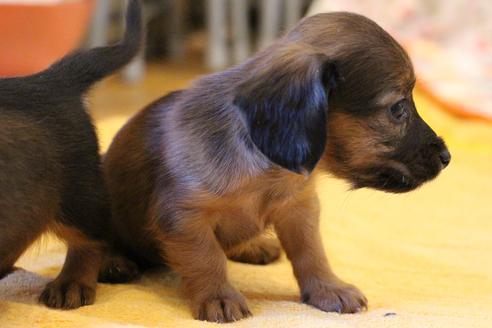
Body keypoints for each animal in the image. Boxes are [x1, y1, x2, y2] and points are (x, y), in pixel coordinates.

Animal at [103, 11, 450, 322]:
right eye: (398, 109)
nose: (447, 157)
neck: (268, 170)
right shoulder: (185, 216)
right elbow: (207, 257)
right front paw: (218, 296)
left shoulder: (299, 208)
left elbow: (312, 252)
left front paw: (328, 289)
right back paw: (113, 262)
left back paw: (252, 246)